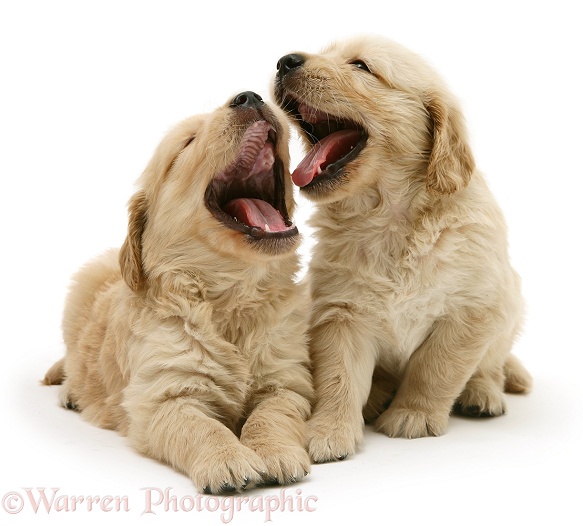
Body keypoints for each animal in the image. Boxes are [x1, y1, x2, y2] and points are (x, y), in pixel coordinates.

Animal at [272, 36, 532, 462]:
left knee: (492, 364)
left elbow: (436, 367)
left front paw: (413, 415)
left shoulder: (472, 309)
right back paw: (378, 396)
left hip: (510, 310)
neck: (390, 219)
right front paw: (329, 431)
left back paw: (482, 393)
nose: (284, 61)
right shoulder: (341, 312)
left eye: (361, 66)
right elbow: (338, 377)